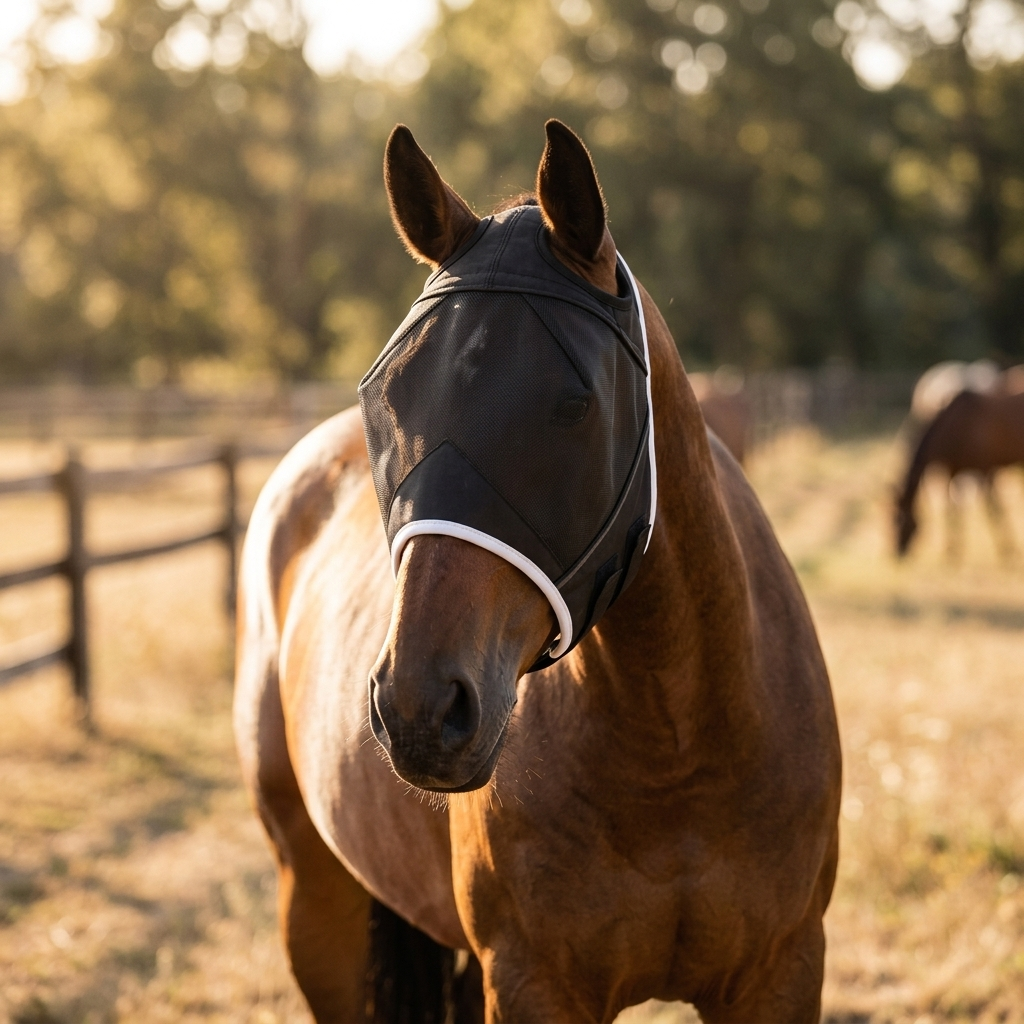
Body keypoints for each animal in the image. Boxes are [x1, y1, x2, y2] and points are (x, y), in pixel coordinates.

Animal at [234, 120, 841, 1024]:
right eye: (387, 397)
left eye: (575, 405)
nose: (418, 708)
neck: (679, 752)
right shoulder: (529, 983)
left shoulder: (782, 973)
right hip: (315, 907)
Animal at [895, 386, 1024, 558]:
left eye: (898, 520)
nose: (897, 552)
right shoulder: (952, 471)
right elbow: (952, 509)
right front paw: (952, 550)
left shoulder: (985, 469)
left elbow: (994, 509)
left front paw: (1008, 550)